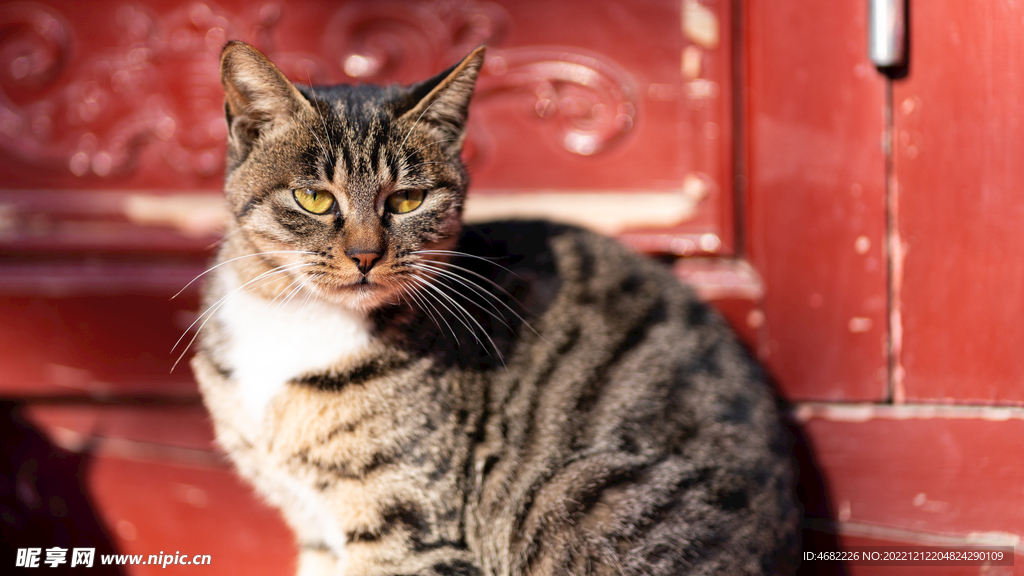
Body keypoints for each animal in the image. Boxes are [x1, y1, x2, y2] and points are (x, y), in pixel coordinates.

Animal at [192, 40, 798, 573]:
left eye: (407, 200)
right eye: (314, 198)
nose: (365, 255)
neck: (298, 320)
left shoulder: (410, 523)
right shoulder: (315, 524)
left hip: (564, 492)